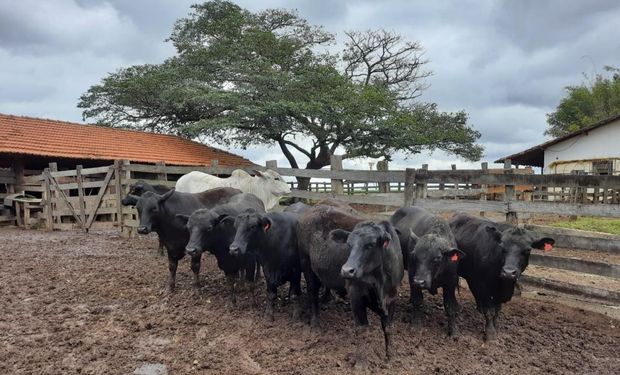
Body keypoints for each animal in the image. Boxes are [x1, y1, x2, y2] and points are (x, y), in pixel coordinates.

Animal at [332, 222, 404, 368]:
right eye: (349, 244)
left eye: (370, 245)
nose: (347, 271)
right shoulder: (356, 297)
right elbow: (362, 329)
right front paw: (361, 363)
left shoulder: (392, 298)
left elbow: (388, 327)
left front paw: (391, 357)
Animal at [390, 207, 462, 336]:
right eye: (414, 254)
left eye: (437, 257)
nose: (420, 281)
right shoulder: (412, 277)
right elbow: (417, 300)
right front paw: (415, 325)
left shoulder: (451, 282)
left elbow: (450, 306)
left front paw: (454, 331)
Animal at [448, 213, 556, 342]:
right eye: (502, 247)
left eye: (528, 249)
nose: (508, 272)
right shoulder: (483, 285)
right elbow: (490, 311)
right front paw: (490, 334)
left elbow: (497, 310)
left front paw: (495, 326)